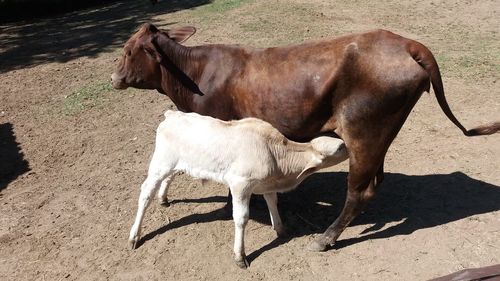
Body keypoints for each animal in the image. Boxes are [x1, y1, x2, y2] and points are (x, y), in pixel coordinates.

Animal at [129, 109, 348, 266]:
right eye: (339, 147)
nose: (349, 144)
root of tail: (173, 115)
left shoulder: (267, 184)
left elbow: (273, 202)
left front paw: (280, 228)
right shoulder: (240, 184)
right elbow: (241, 218)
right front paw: (240, 256)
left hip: (176, 163)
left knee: (168, 179)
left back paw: (163, 198)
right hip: (161, 163)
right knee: (146, 193)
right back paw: (134, 235)